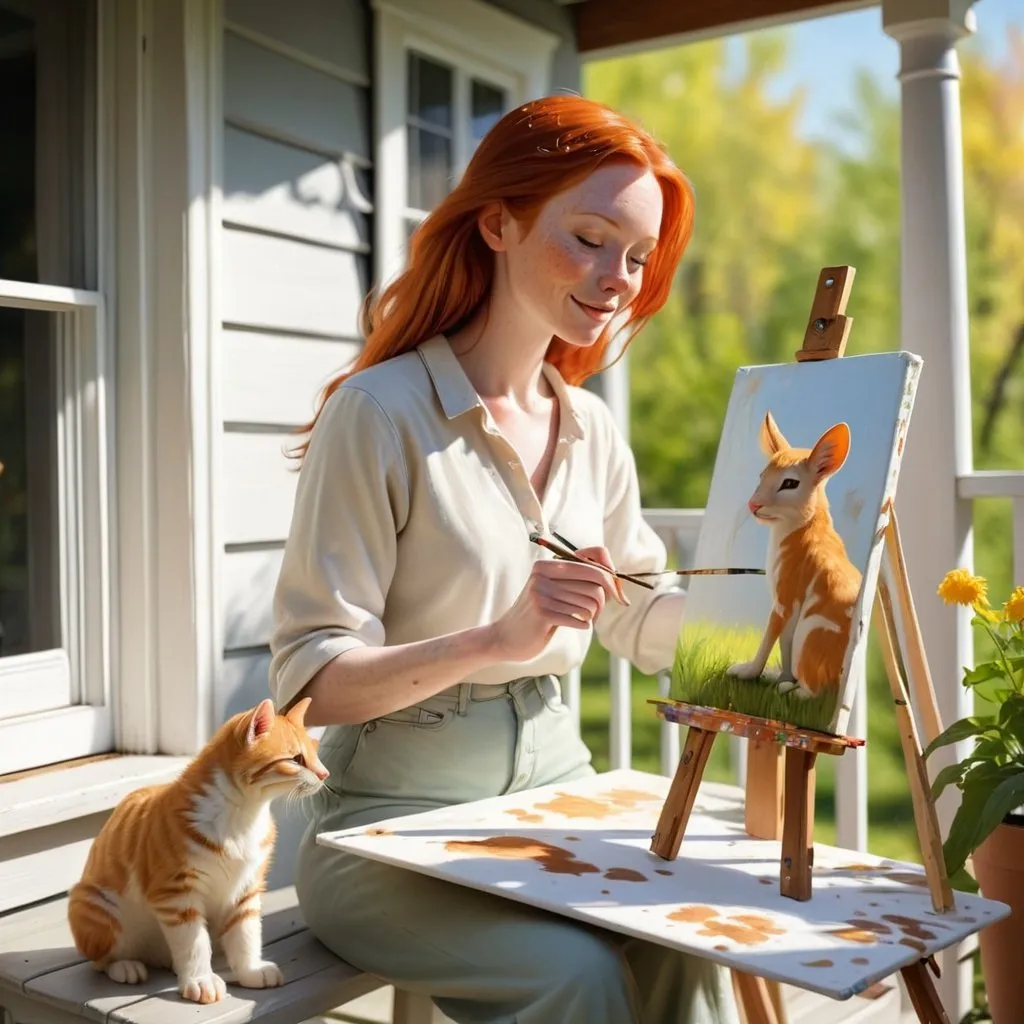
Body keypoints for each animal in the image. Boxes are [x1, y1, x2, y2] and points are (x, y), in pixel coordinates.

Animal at [67, 700, 327, 1003]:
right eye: (296, 759)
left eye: (315, 753)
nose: (325, 774)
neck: (243, 814)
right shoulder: (177, 895)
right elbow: (194, 943)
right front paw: (201, 980)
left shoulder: (246, 889)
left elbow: (246, 934)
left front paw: (249, 970)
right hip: (95, 905)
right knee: (100, 959)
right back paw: (125, 966)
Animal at [729, 411, 864, 700]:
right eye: (761, 475)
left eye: (790, 483)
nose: (753, 505)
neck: (804, 526)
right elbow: (783, 646)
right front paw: (776, 675)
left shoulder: (784, 601)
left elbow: (769, 640)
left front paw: (745, 672)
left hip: (811, 630)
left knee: (814, 692)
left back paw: (788, 690)